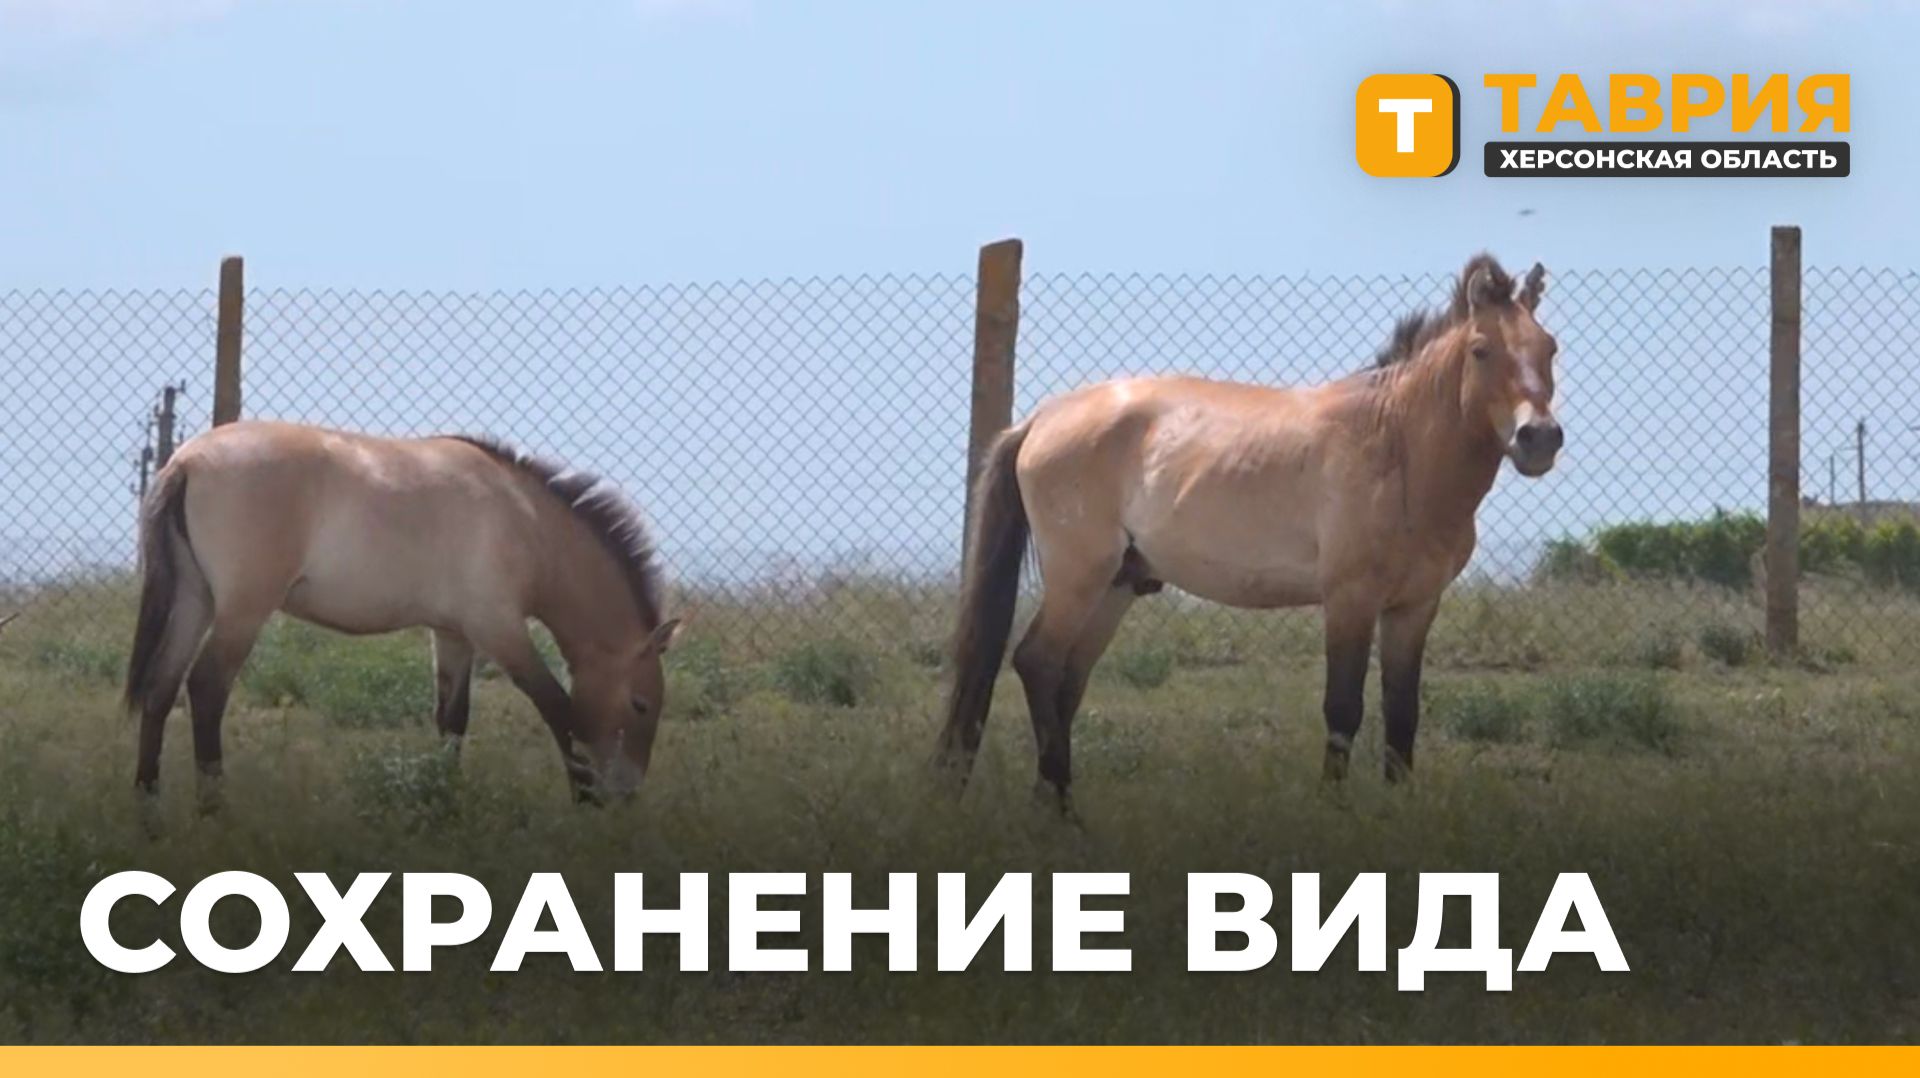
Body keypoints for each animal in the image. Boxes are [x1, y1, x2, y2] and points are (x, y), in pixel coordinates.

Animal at [124, 421, 683, 809]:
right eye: (640, 704)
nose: (627, 793)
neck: (524, 519)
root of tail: (187, 462)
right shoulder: (499, 630)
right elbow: (557, 707)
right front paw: (583, 798)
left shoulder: (454, 634)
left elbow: (452, 720)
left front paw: (447, 800)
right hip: (241, 612)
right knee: (206, 689)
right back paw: (213, 808)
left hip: (196, 601)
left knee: (161, 689)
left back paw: (149, 805)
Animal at [935, 254, 1561, 811]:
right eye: (1482, 350)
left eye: (1549, 348)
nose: (1539, 439)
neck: (1396, 444)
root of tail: (1040, 419)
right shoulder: (1350, 599)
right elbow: (1344, 709)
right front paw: (1333, 809)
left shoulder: (1414, 607)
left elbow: (1402, 714)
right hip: (1079, 578)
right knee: (1038, 662)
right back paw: (1065, 810)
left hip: (1115, 587)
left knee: (1066, 680)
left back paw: (1052, 804)